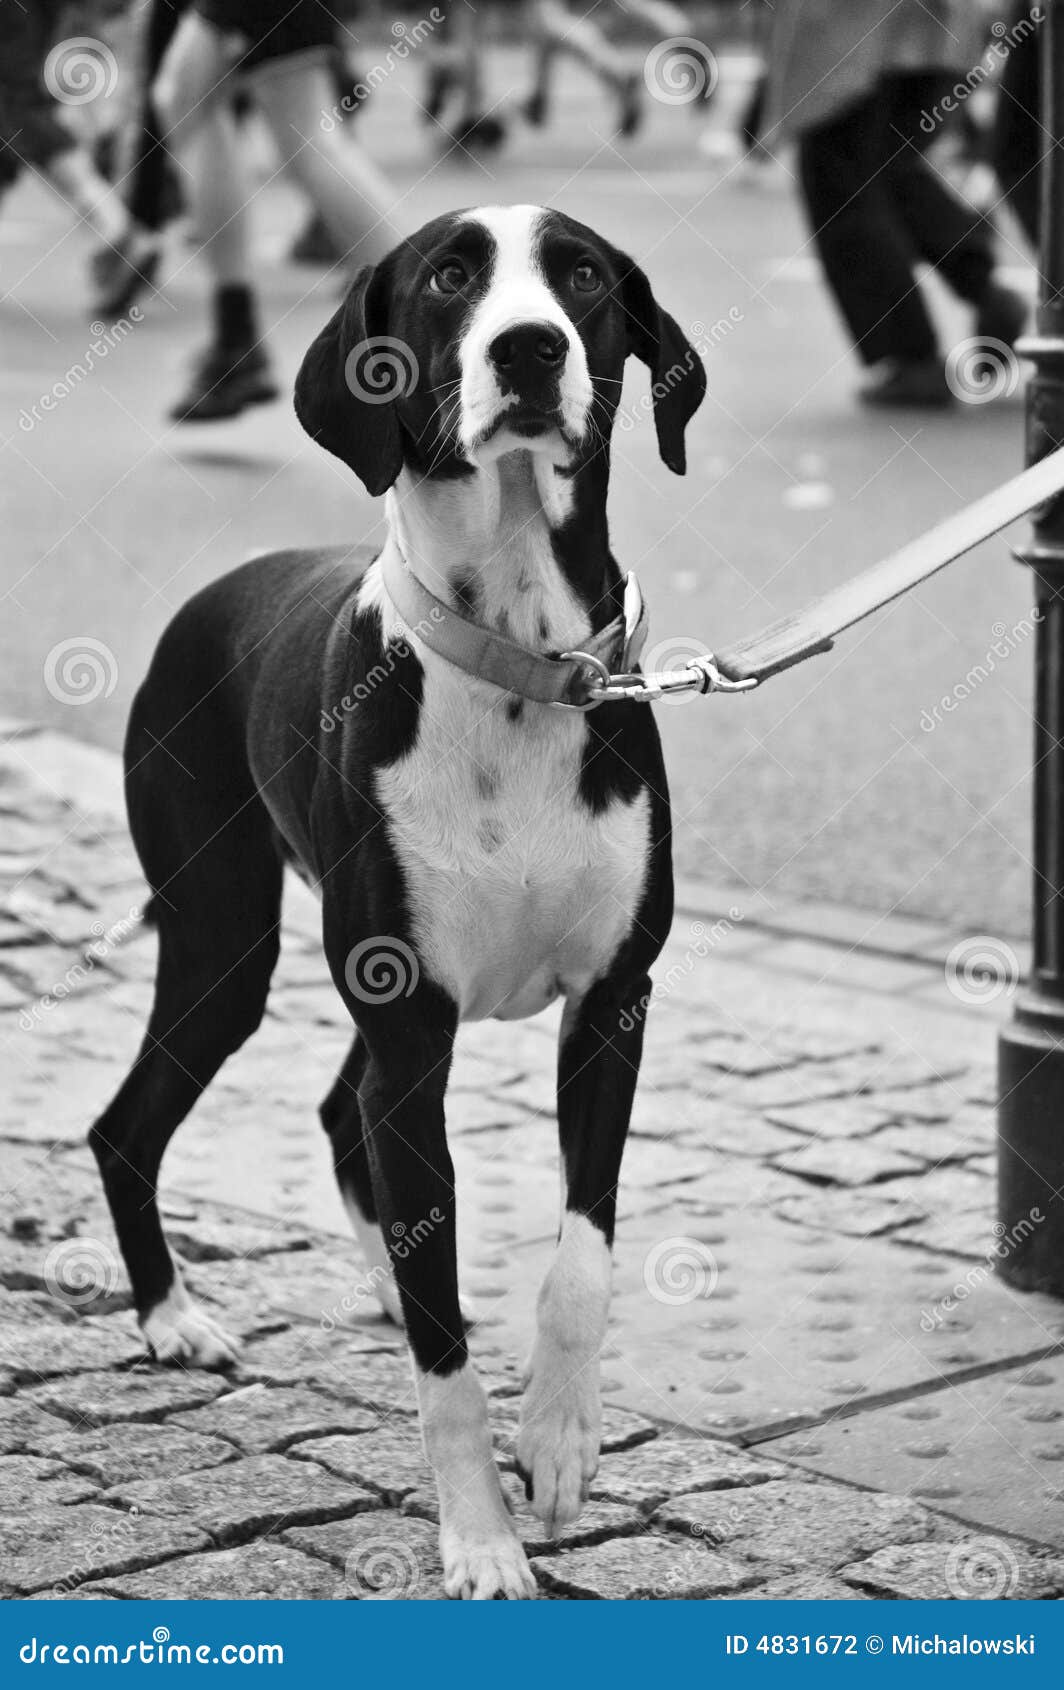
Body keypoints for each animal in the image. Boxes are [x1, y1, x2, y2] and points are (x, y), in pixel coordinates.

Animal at [91, 207, 709, 1595]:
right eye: (448, 276)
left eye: (580, 274)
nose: (529, 346)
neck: (520, 667)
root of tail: (214, 593)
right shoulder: (412, 1020)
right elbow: (442, 1372)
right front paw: (477, 1539)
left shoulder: (611, 1004)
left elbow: (579, 1258)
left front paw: (560, 1438)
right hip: (225, 942)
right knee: (127, 1124)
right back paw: (172, 1317)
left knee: (340, 1110)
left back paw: (373, 1276)